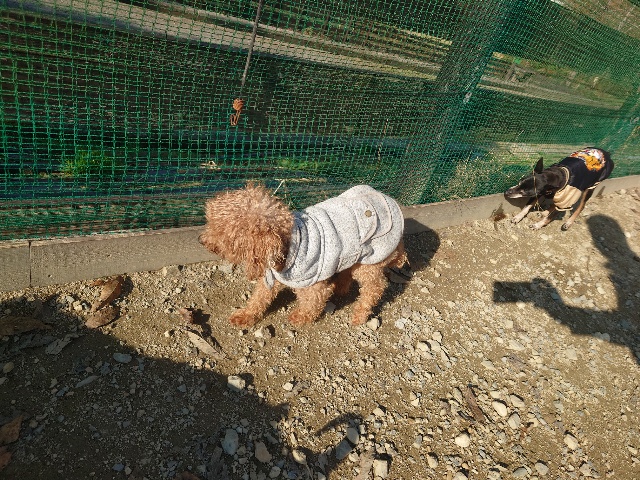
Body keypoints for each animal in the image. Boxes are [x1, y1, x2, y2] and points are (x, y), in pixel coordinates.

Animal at [199, 183, 407, 328]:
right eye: (211, 224)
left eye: (223, 235)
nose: (202, 240)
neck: (287, 246)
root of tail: (389, 199)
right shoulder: (273, 277)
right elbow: (259, 298)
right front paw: (246, 315)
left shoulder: (313, 284)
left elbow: (313, 302)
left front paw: (300, 317)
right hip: (352, 254)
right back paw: (341, 288)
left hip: (370, 260)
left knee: (374, 288)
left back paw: (359, 314)